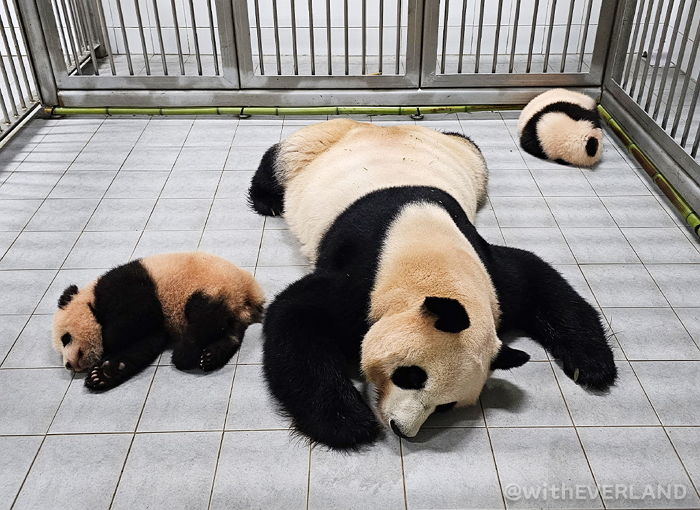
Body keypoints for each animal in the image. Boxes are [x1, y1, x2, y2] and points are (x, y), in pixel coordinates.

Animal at [249, 118, 616, 446]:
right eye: (411, 375)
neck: (431, 259)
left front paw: (592, 366)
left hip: (467, 157)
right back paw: (267, 200)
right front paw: (348, 423)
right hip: (318, 143)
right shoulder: (364, 279)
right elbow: (296, 316)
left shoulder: (492, 276)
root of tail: (380, 126)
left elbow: (540, 281)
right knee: (284, 155)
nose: (401, 429)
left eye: (445, 406)